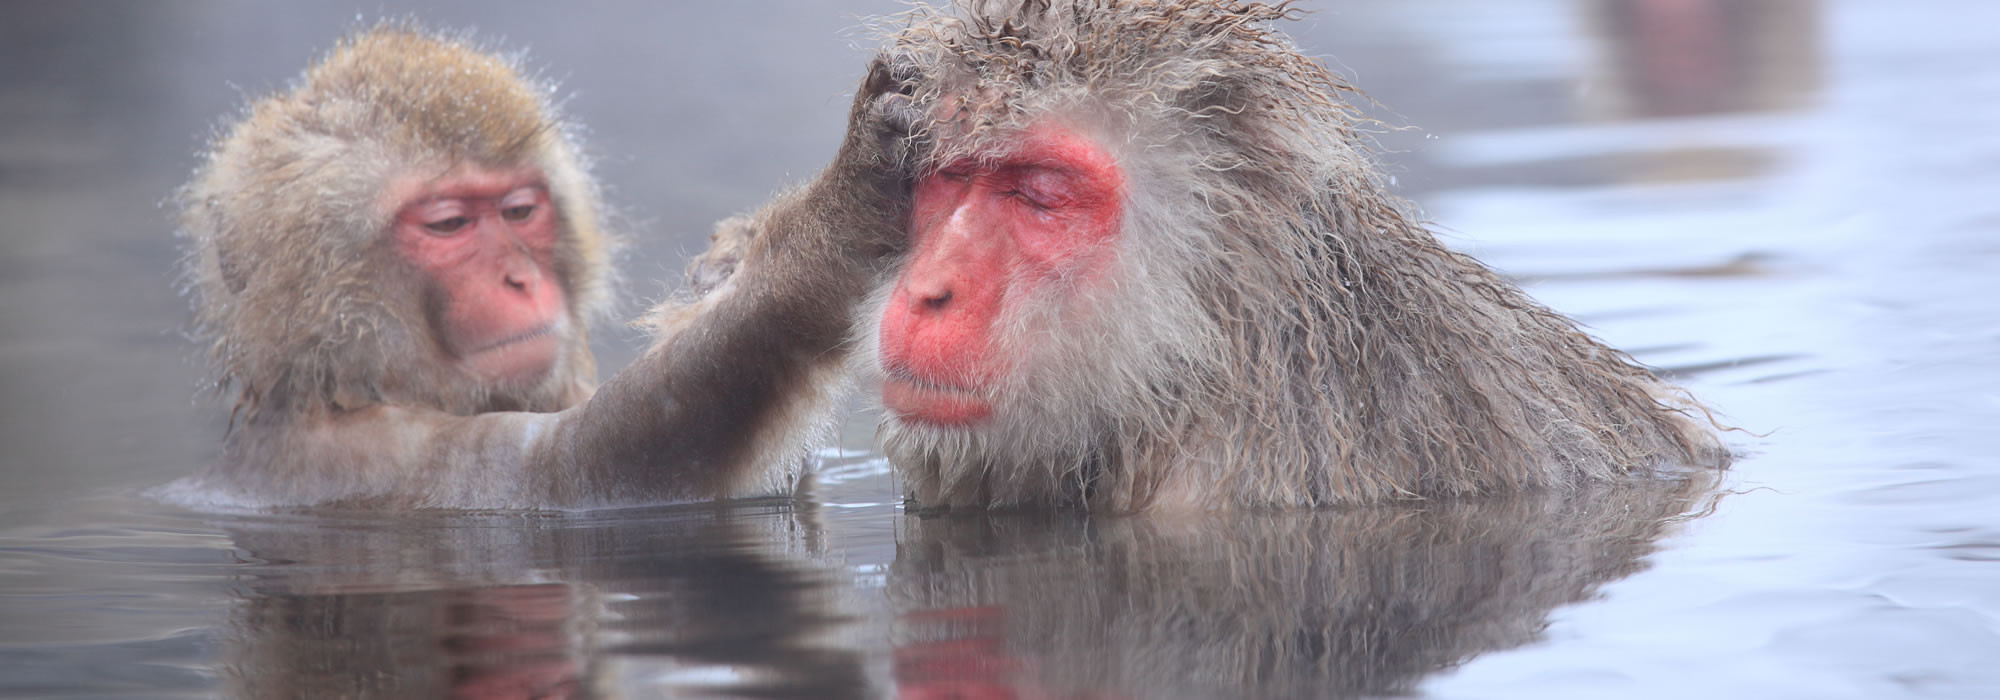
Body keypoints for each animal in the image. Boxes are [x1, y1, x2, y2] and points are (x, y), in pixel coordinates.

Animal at [176, 26, 916, 508]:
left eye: (520, 211)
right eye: (448, 225)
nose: (521, 280)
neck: (342, 380)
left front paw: (732, 261)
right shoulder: (366, 455)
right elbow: (579, 470)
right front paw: (845, 209)